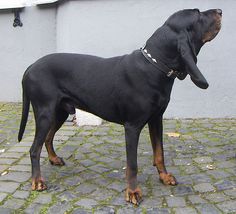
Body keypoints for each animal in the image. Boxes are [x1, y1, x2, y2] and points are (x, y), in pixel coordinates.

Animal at [18, 8, 221, 206]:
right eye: (197, 14)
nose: (220, 11)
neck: (154, 66)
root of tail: (30, 66)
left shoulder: (156, 120)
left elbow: (159, 153)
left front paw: (164, 176)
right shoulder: (132, 127)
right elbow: (132, 164)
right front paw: (133, 192)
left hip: (59, 112)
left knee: (48, 138)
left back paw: (53, 159)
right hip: (45, 113)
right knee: (34, 149)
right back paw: (37, 181)